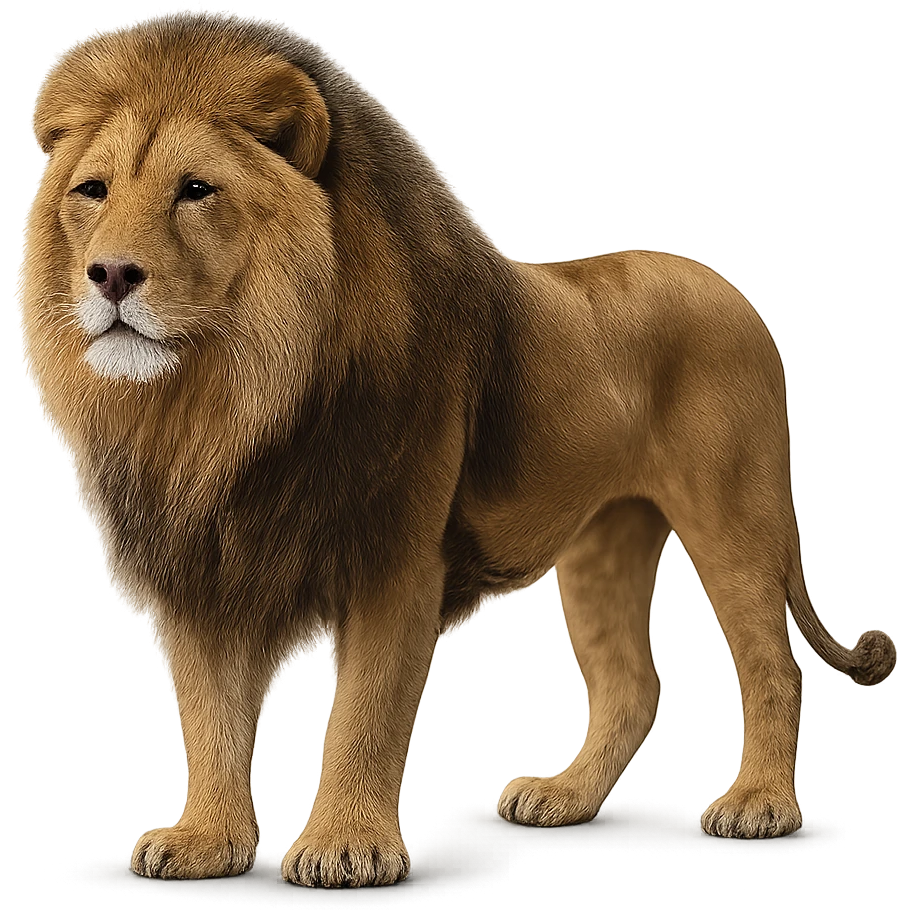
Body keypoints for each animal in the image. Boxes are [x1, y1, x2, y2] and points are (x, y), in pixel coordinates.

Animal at [15, 9, 896, 889]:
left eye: (196, 190)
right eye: (92, 191)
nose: (110, 274)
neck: (226, 403)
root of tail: (730, 291)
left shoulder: (396, 560)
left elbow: (364, 714)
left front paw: (346, 847)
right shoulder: (203, 568)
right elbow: (209, 719)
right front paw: (206, 842)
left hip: (734, 513)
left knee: (773, 666)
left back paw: (759, 805)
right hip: (604, 541)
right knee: (633, 685)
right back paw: (563, 797)